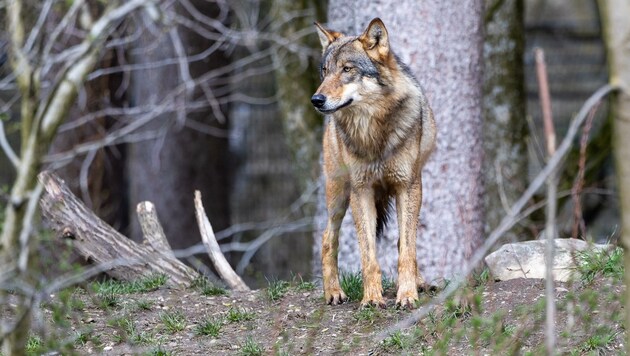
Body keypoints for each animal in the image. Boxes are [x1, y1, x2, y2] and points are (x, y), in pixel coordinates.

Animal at [312, 17, 440, 308]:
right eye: (325, 71)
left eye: (347, 69)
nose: (316, 100)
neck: (373, 132)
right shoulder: (361, 190)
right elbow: (368, 254)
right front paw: (371, 298)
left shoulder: (408, 186)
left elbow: (407, 251)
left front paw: (407, 295)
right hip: (338, 194)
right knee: (327, 239)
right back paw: (333, 292)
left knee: (404, 242)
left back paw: (418, 283)